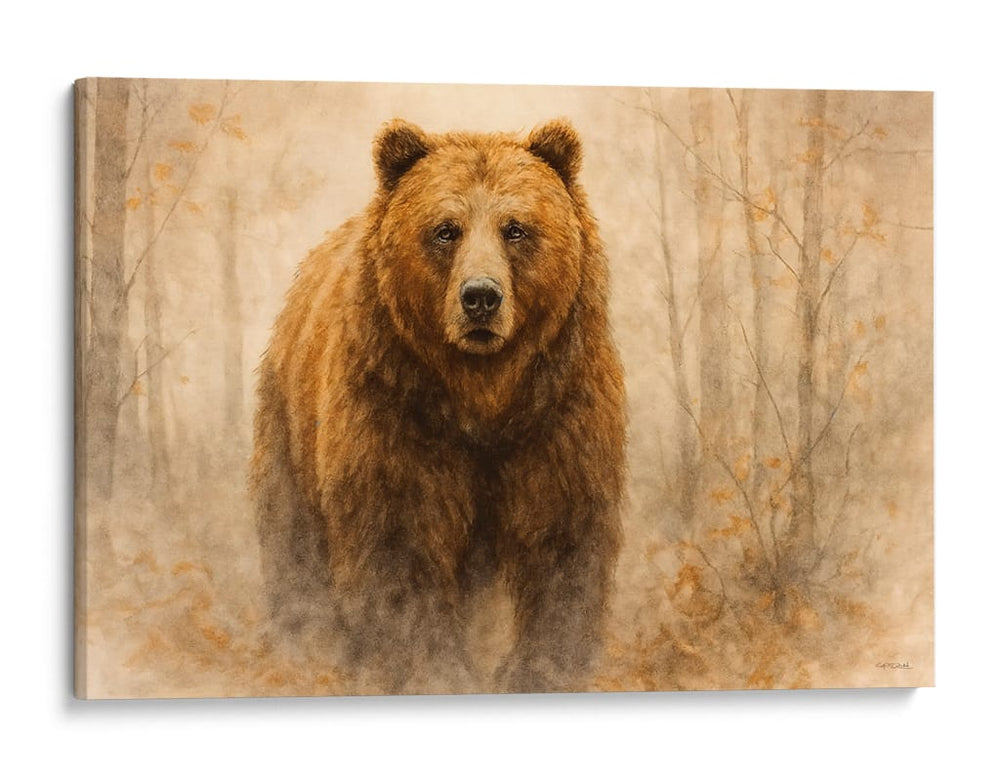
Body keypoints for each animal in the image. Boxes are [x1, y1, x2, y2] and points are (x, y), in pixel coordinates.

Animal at [250, 118, 626, 694]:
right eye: (446, 229)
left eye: (516, 228)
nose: (481, 297)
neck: (484, 394)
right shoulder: (395, 414)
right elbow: (401, 551)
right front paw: (431, 669)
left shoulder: (559, 414)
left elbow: (561, 542)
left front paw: (542, 668)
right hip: (289, 424)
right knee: (292, 540)